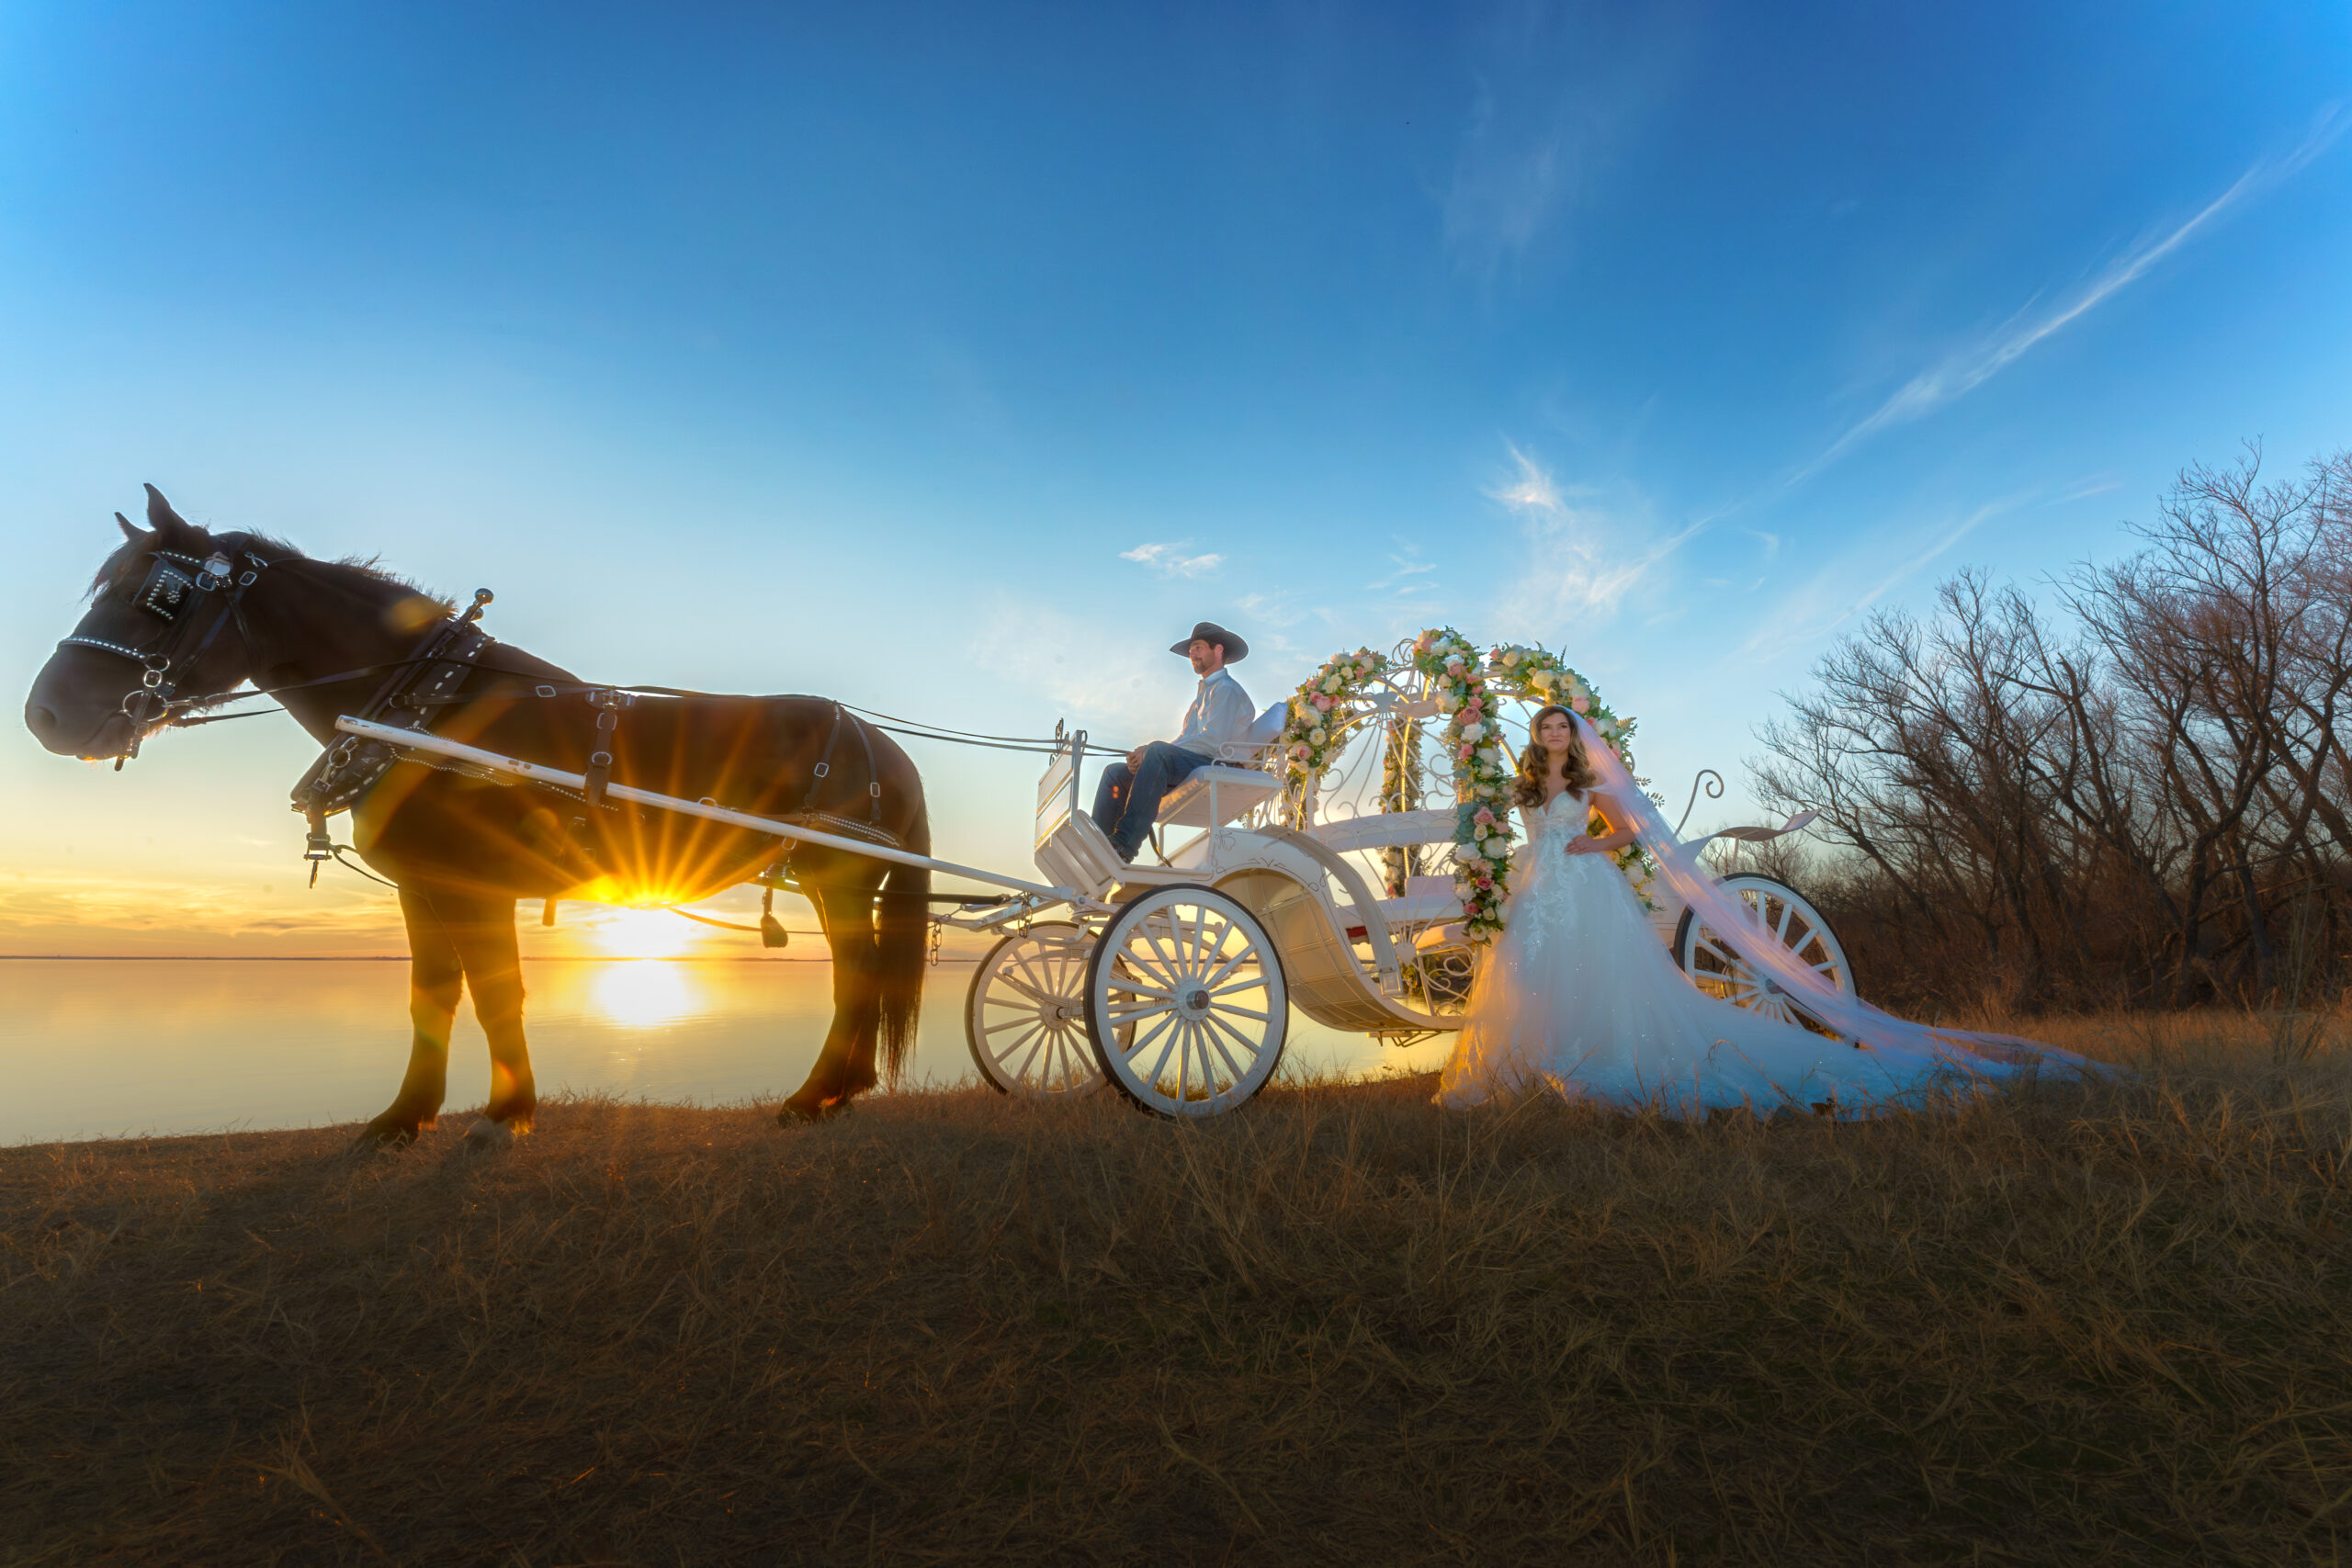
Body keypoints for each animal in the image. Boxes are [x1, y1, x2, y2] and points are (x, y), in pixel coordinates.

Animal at [28, 484, 931, 1146]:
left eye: (160, 597)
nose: (44, 715)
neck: (425, 705)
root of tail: (885, 744)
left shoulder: (475, 885)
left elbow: (499, 993)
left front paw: (507, 1112)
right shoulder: (423, 886)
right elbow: (432, 997)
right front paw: (406, 1116)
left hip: (841, 877)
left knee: (857, 979)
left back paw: (814, 1095)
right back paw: (841, 1089)